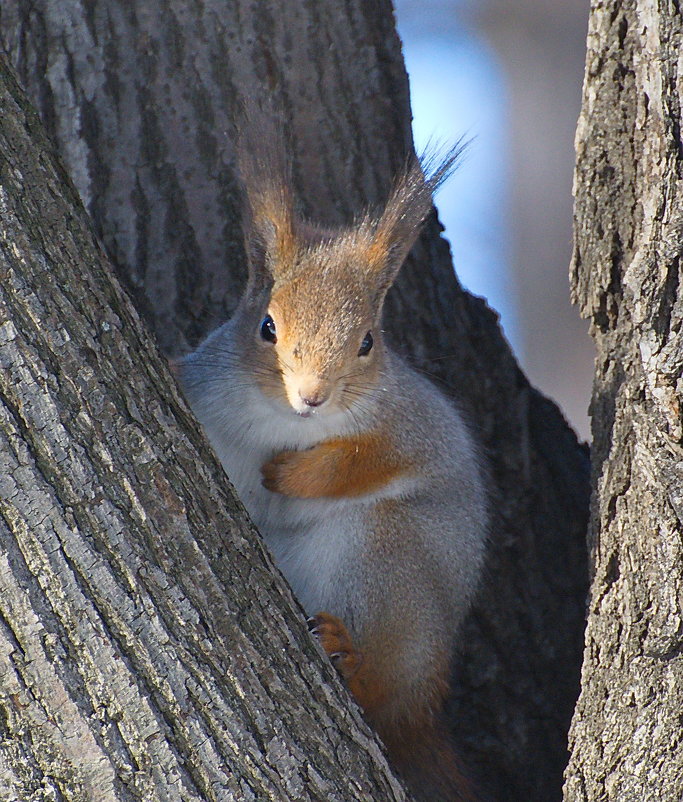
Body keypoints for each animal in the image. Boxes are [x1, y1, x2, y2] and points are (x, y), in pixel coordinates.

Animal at [179, 120, 488, 800]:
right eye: (268, 327)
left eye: (368, 341)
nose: (312, 396)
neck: (286, 423)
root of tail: (424, 706)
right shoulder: (198, 394)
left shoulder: (414, 426)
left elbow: (367, 461)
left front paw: (288, 474)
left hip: (385, 564)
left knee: (380, 693)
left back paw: (349, 658)